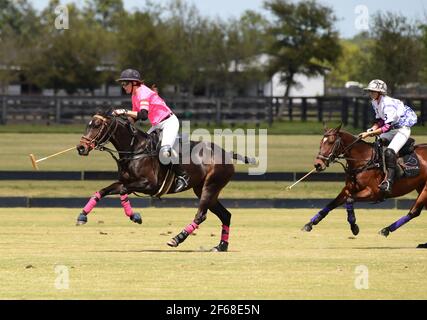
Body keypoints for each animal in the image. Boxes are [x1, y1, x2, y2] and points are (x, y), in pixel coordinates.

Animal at [76, 110, 254, 252]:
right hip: (203, 189)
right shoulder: (124, 181)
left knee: (201, 215)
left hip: (211, 186)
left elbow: (123, 190)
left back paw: (176, 239)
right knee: (225, 215)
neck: (135, 150)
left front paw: (134, 216)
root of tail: (227, 153)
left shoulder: (149, 185)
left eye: (97, 125)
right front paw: (82, 216)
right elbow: (103, 191)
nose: (81, 148)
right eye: (88, 125)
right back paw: (221, 246)